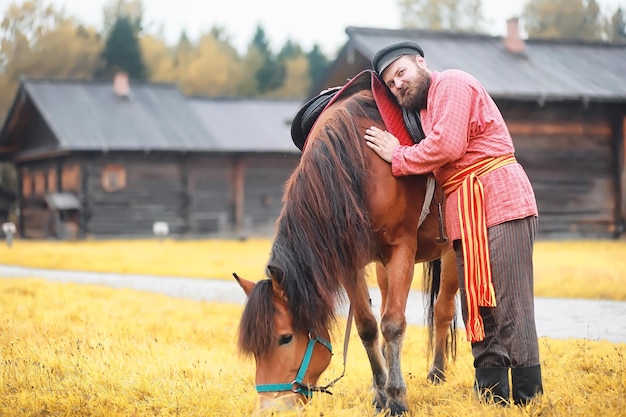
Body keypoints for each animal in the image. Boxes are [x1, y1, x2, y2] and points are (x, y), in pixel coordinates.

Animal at [234, 73, 458, 414]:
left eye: (285, 338)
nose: (270, 407)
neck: (358, 167)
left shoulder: (401, 250)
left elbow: (393, 324)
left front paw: (397, 398)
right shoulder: (351, 263)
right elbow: (368, 326)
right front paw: (380, 393)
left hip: (453, 255)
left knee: (443, 308)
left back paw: (437, 372)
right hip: (381, 268)